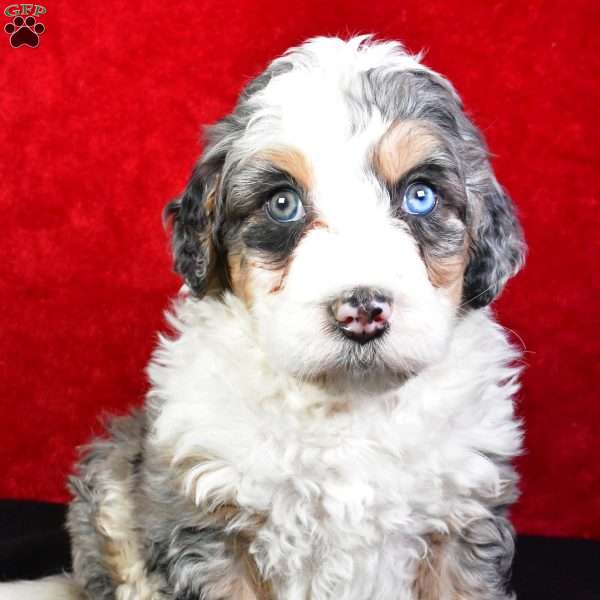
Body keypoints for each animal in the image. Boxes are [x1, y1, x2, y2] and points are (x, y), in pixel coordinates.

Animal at [7, 36, 524, 600]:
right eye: (282, 204)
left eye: (421, 195)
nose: (362, 310)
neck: (345, 408)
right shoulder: (209, 519)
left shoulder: (462, 514)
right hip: (111, 478)